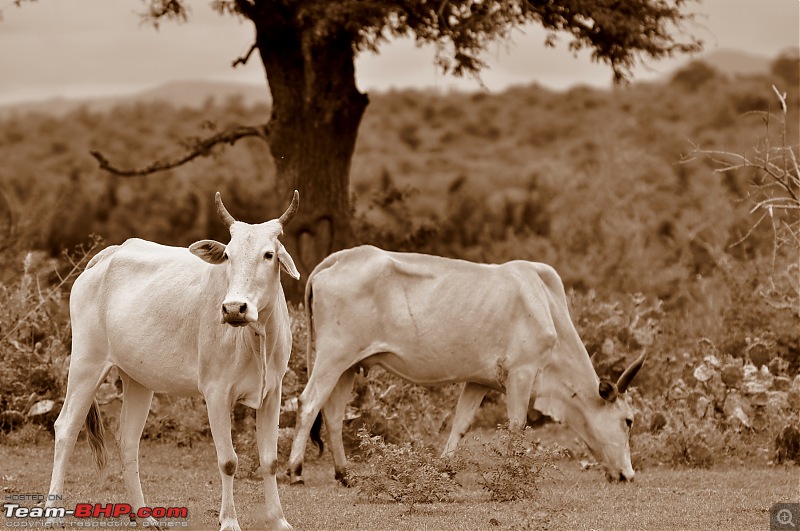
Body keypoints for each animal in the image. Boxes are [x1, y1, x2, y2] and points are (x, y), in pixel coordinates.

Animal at [47, 191, 304, 531]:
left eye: (268, 255)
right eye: (228, 256)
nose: (234, 308)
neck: (256, 336)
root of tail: (108, 255)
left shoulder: (273, 392)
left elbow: (270, 460)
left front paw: (278, 520)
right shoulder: (216, 392)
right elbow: (228, 461)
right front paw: (229, 521)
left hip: (137, 379)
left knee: (128, 441)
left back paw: (145, 517)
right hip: (86, 362)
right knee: (66, 428)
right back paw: (52, 513)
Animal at [290, 245, 648, 486]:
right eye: (628, 421)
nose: (628, 475)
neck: (546, 306)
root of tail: (338, 258)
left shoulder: (479, 381)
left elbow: (460, 425)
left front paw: (444, 468)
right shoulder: (522, 372)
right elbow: (516, 426)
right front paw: (515, 473)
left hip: (348, 365)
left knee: (333, 415)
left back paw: (344, 474)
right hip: (332, 357)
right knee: (308, 403)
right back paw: (295, 472)